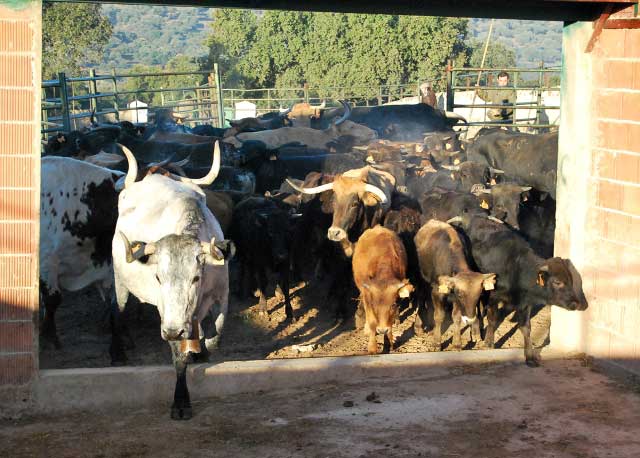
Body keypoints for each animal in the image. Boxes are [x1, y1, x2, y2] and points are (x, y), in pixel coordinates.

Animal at [352, 225, 412, 354]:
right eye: (374, 305)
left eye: (393, 304)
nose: (382, 330)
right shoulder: (367, 297)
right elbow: (372, 321)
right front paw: (372, 347)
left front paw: (389, 342)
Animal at [412, 220, 498, 348]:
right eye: (461, 295)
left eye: (479, 295)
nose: (470, 320)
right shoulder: (437, 291)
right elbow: (439, 316)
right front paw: (437, 342)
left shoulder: (454, 297)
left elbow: (456, 317)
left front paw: (457, 343)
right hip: (421, 280)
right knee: (421, 300)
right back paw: (418, 326)